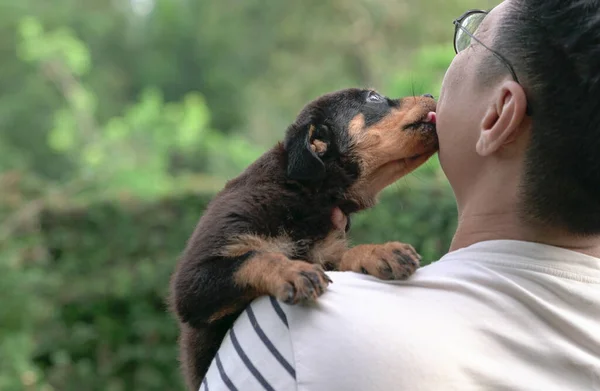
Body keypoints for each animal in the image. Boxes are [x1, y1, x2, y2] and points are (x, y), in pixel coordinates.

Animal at [169, 87, 436, 390]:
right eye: (373, 98)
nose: (430, 94)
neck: (306, 191)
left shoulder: (324, 248)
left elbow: (340, 256)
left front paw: (379, 252)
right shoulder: (192, 283)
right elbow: (256, 257)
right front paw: (294, 271)